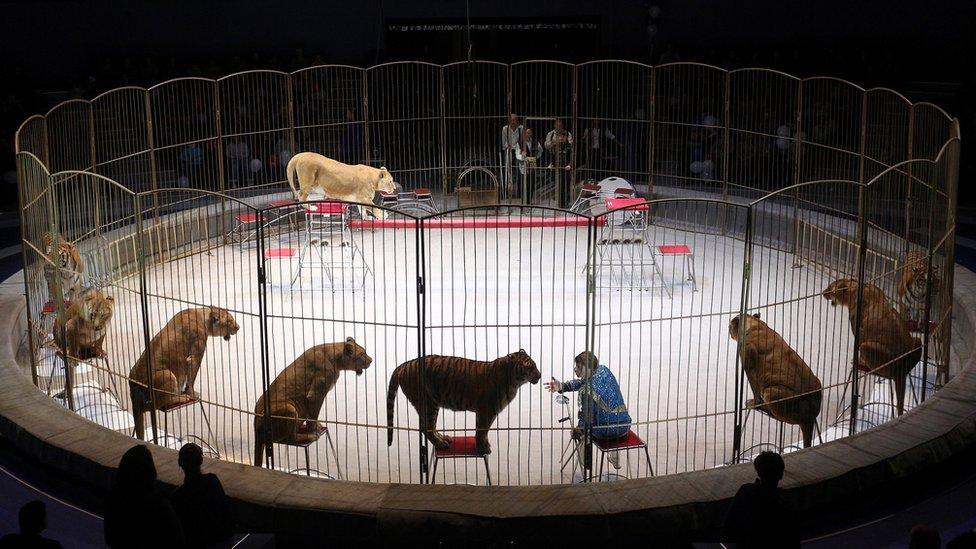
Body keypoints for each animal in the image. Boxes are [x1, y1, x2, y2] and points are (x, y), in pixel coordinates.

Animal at [386, 352, 540, 454]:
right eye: (530, 367)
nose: (539, 375)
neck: (514, 382)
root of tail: (404, 364)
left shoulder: (487, 412)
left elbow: (483, 431)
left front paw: (484, 445)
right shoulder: (486, 410)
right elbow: (482, 430)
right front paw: (483, 448)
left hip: (433, 403)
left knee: (430, 426)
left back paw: (444, 438)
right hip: (427, 402)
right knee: (425, 426)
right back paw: (440, 444)